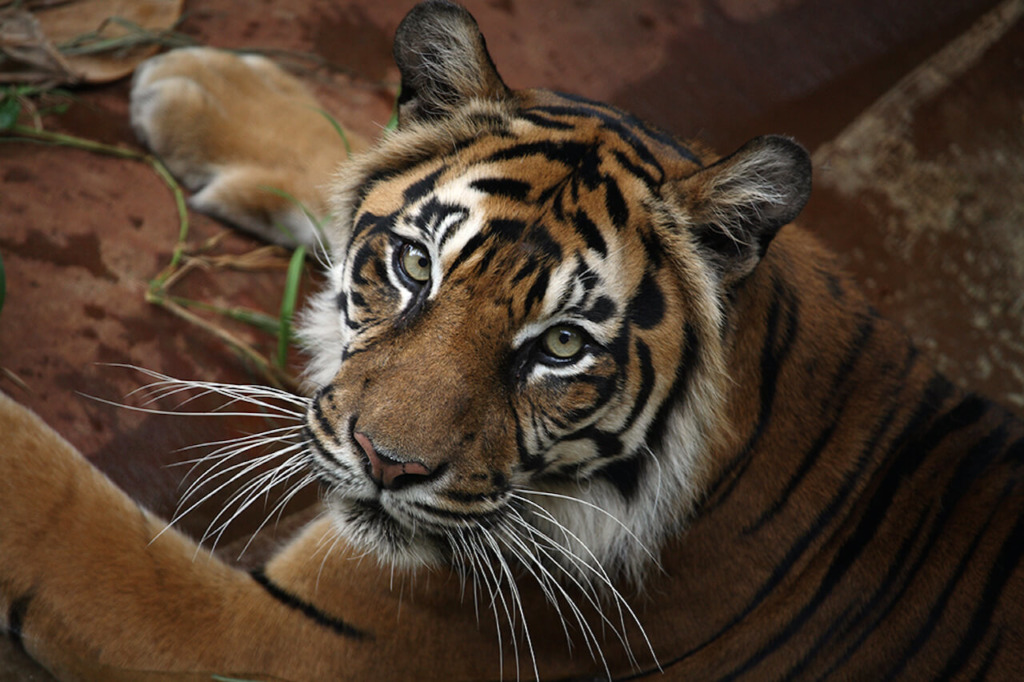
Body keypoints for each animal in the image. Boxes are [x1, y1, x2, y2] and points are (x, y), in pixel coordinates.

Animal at [2, 1, 1024, 679]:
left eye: (561, 346)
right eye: (414, 265)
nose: (389, 465)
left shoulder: (281, 638)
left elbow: (67, 514)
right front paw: (208, 87)